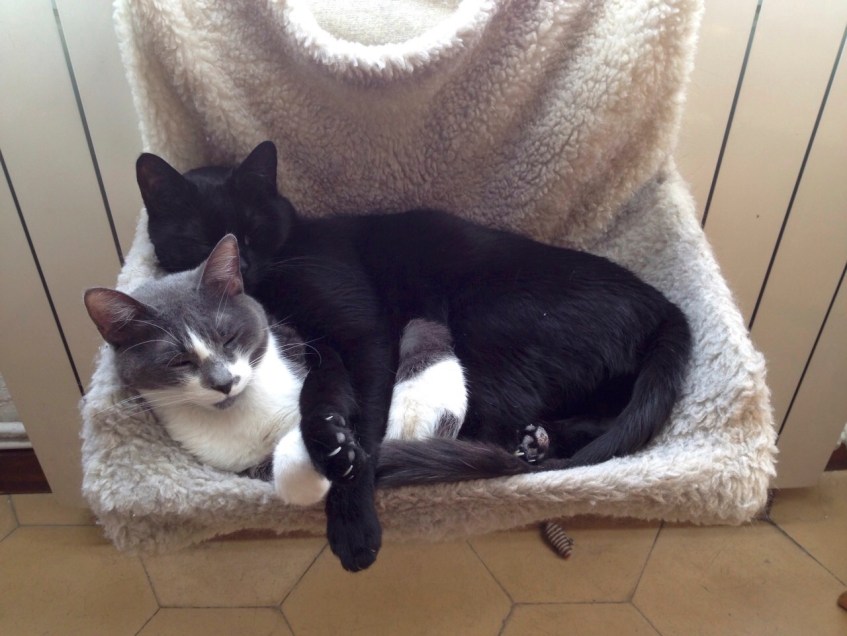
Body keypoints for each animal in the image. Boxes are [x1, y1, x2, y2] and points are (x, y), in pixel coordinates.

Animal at [84, 234, 467, 507]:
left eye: (229, 336)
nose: (224, 382)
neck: (239, 413)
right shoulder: (235, 464)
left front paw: (331, 446)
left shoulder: (312, 354)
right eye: (179, 361)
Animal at [137, 141, 692, 572]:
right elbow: (323, 395)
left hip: (489, 327)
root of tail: (664, 306)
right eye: (195, 240)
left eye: (252, 229)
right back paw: (538, 441)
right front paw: (330, 442)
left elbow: (362, 422)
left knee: (498, 436)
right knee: (597, 421)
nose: (241, 264)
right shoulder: (326, 352)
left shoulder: (365, 337)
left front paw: (353, 520)